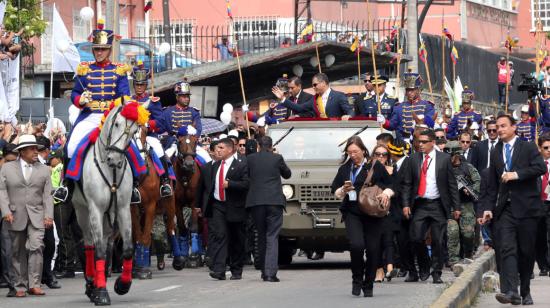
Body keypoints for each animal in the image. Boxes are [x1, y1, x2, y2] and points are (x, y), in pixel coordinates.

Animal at [72, 103, 148, 306]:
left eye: (135, 130)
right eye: (117, 124)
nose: (114, 159)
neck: (110, 170)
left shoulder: (123, 209)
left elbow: (128, 249)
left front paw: (122, 284)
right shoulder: (95, 210)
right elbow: (98, 251)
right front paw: (101, 293)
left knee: (107, 244)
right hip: (82, 213)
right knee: (89, 245)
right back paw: (92, 283)